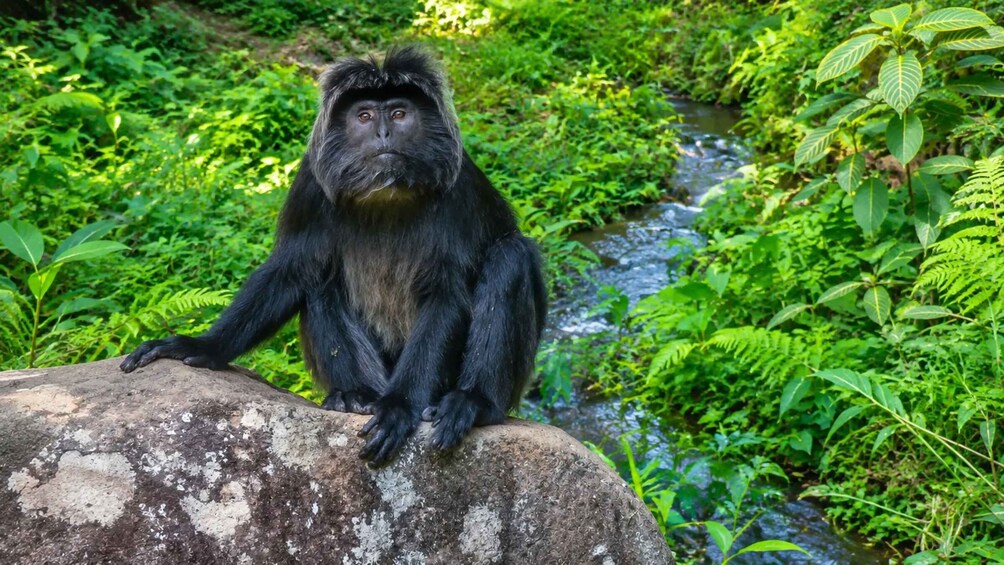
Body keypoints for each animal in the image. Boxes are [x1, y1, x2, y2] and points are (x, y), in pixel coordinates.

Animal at [120, 46, 548, 465]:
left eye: (398, 113)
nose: (383, 133)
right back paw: (355, 396)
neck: (388, 193)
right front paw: (201, 347)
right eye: (364, 116)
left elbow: (448, 297)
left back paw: (473, 403)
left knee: (510, 258)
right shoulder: (311, 182)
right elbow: (289, 270)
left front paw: (399, 406)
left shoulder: (458, 187)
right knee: (319, 280)